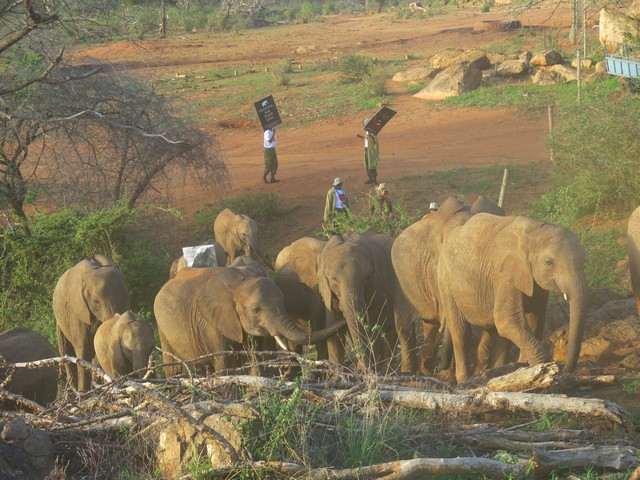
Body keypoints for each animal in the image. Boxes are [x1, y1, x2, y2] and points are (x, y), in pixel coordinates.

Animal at [53, 254, 130, 391]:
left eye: (127, 296)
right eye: (96, 301)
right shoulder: (76, 312)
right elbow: (84, 349)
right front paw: (84, 393)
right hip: (60, 320)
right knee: (66, 350)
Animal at [154, 258, 347, 377]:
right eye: (256, 310)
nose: (343, 318)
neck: (238, 284)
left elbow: (257, 356)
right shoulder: (211, 322)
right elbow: (224, 363)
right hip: (163, 331)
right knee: (174, 369)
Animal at [318, 230, 400, 372]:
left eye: (368, 277)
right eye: (333, 278)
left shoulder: (378, 286)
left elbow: (376, 322)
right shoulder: (328, 293)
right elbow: (334, 329)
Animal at [438, 213, 588, 384]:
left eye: (584, 259)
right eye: (549, 262)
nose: (567, 371)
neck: (535, 231)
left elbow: (534, 320)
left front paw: (526, 368)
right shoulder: (504, 274)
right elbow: (506, 320)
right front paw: (544, 370)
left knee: (497, 335)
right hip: (445, 281)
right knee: (461, 332)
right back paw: (466, 381)